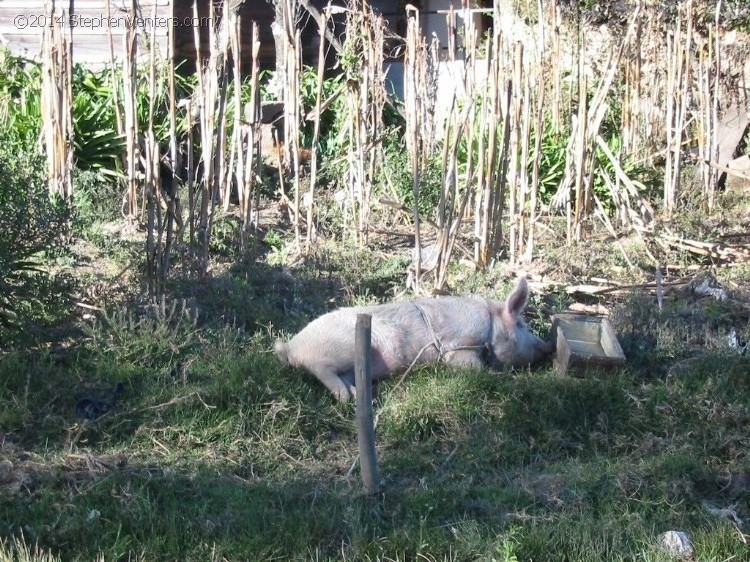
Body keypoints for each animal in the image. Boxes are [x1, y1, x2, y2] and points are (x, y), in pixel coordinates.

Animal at [274, 274, 552, 398]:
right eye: (521, 325)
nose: (547, 346)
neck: (491, 328)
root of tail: (291, 346)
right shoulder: (458, 347)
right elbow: (476, 369)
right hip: (342, 348)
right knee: (319, 367)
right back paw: (345, 397)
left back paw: (358, 395)